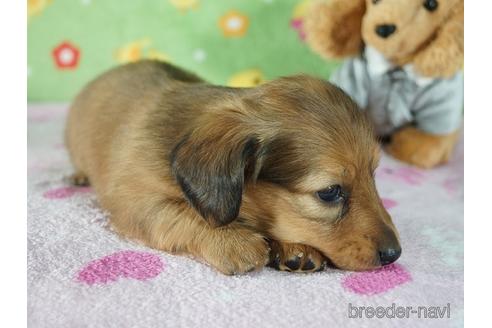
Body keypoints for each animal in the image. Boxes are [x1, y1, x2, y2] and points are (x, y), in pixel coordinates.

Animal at [64, 60, 400, 274]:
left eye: (373, 174)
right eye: (329, 192)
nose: (394, 254)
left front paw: (296, 248)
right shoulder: (134, 200)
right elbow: (180, 212)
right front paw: (233, 241)